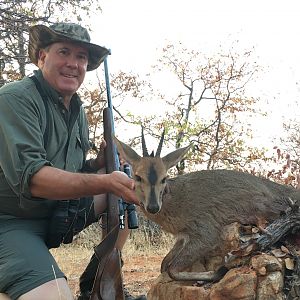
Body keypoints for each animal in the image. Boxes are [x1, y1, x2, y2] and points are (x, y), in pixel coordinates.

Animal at [113, 132, 298, 282]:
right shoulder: (183, 237)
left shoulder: (206, 232)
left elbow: (171, 269)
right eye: (137, 177)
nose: (153, 207)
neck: (176, 200)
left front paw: (220, 269)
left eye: (164, 178)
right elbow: (164, 264)